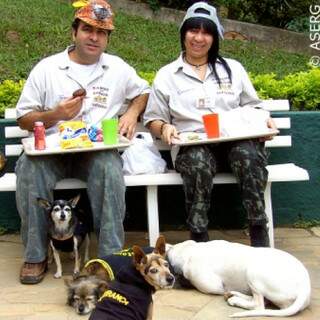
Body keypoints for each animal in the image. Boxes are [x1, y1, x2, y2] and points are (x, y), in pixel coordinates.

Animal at [166, 240, 312, 318]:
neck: (190, 251)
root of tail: (304, 288)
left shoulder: (214, 287)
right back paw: (234, 295)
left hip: (253, 272)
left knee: (258, 305)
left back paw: (235, 300)